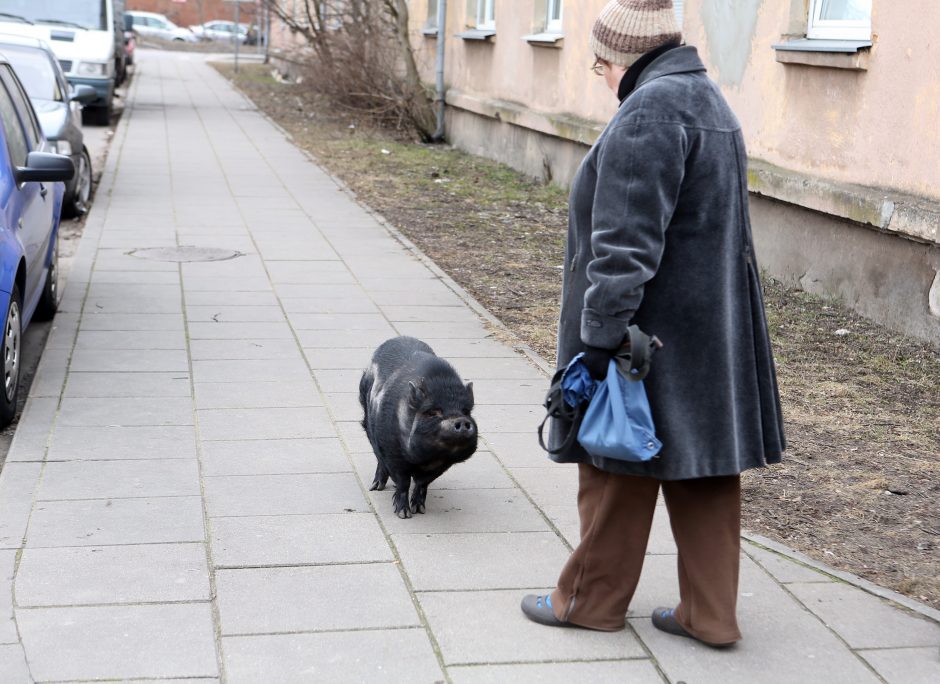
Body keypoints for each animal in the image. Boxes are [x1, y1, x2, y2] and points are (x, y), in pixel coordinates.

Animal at [358, 336, 482, 520]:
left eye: (466, 411)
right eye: (432, 412)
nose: (461, 420)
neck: (427, 458)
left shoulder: (441, 465)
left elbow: (422, 483)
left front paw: (420, 510)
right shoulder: (392, 452)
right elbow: (403, 482)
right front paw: (403, 515)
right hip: (368, 423)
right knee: (379, 459)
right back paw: (376, 488)